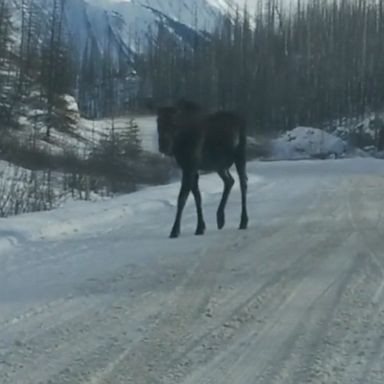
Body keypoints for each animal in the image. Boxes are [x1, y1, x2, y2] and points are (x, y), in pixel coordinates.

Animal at [156, 99, 249, 237]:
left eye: (174, 123)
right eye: (158, 122)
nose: (163, 145)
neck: (180, 141)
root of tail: (242, 121)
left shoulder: (190, 167)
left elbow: (182, 197)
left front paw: (175, 230)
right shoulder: (190, 168)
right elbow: (197, 196)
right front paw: (201, 227)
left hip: (240, 157)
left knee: (243, 183)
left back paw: (243, 221)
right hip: (219, 166)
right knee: (229, 181)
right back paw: (220, 218)